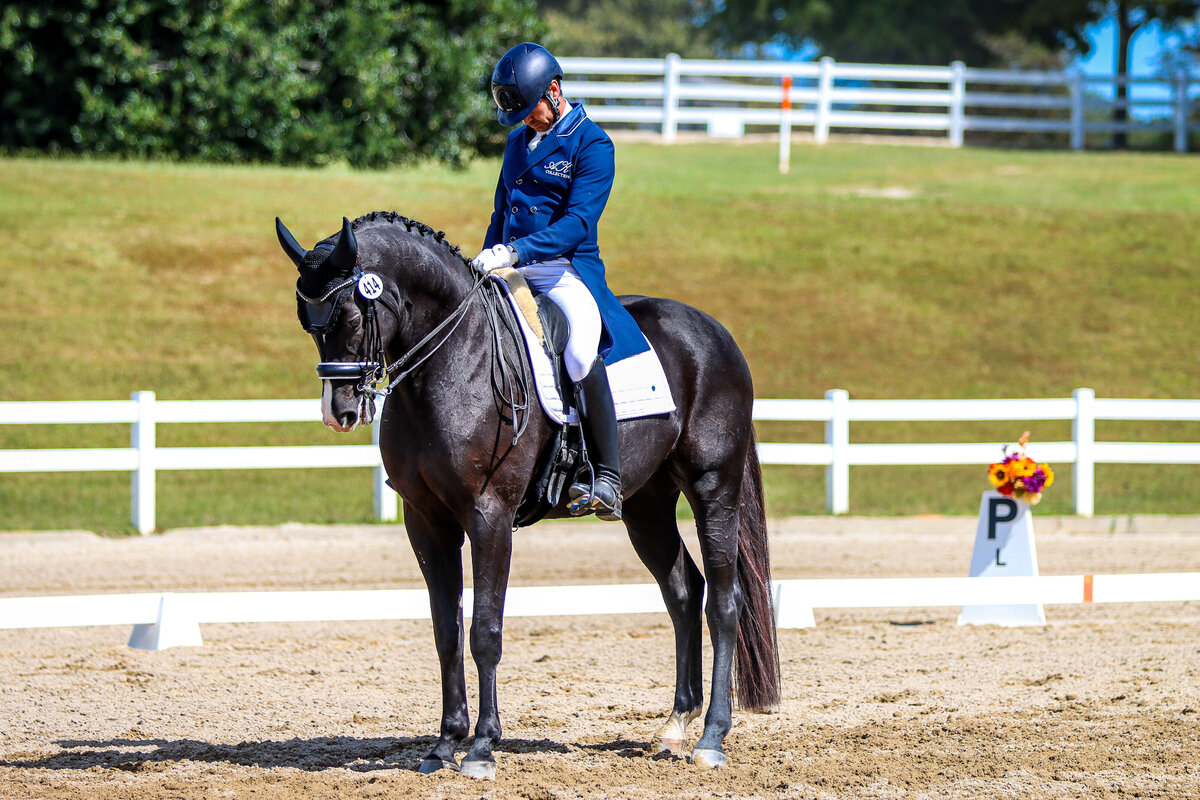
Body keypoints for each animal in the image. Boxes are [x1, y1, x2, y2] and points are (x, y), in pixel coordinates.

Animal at [276, 211, 780, 779]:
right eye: (307, 321)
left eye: (351, 317)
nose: (338, 412)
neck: (453, 360)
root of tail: (713, 331)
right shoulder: (426, 522)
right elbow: (446, 632)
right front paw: (443, 745)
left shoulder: (489, 515)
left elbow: (484, 630)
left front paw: (481, 748)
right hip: (645, 506)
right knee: (684, 592)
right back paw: (674, 726)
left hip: (714, 486)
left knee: (724, 601)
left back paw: (711, 738)